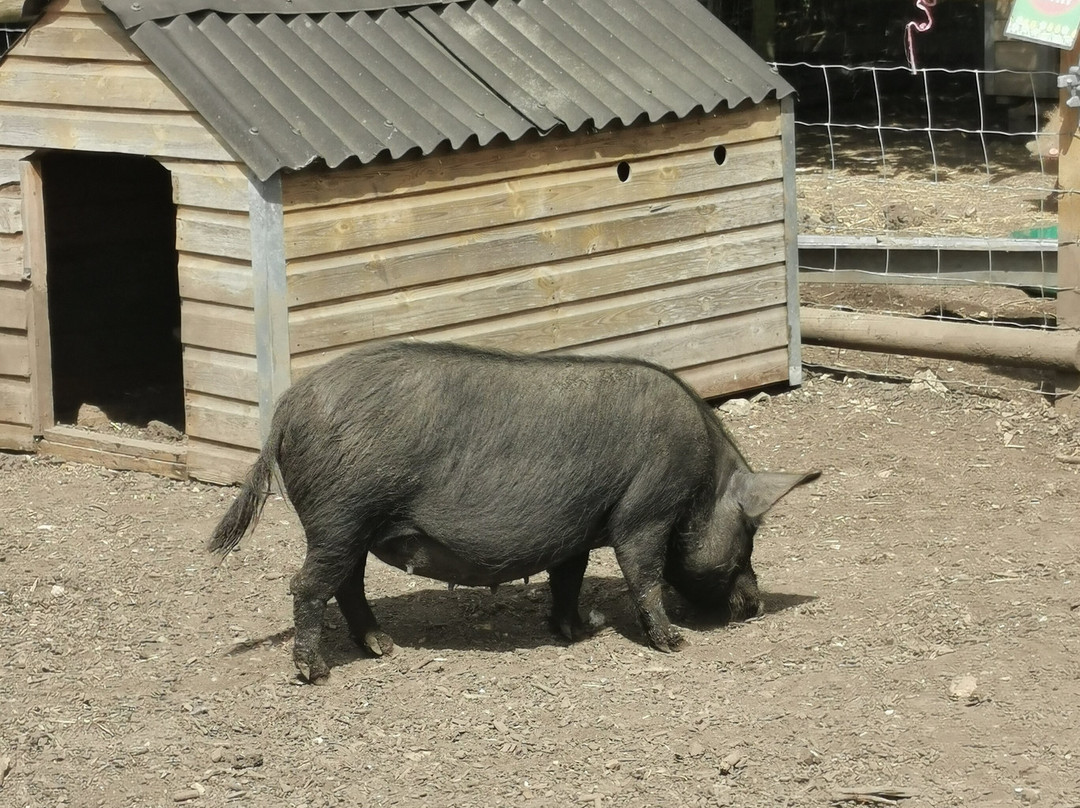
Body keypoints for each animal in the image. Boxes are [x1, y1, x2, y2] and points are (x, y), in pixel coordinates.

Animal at [208, 341, 819, 683]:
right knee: (307, 585)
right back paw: (316, 674)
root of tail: (287, 407)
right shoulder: (645, 510)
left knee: (347, 584)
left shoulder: (578, 528)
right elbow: (642, 573)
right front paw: (674, 644)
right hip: (340, 515)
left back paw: (383, 648)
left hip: (350, 526)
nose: (755, 605)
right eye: (749, 534)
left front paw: (578, 630)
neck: (702, 482)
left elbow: (568, 577)